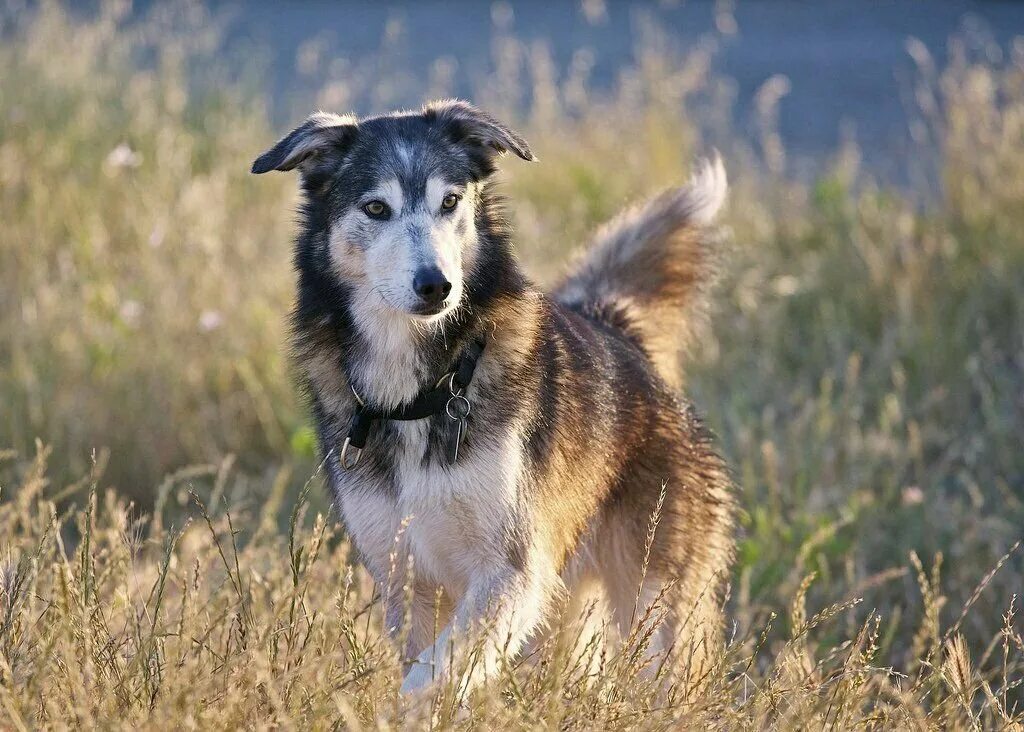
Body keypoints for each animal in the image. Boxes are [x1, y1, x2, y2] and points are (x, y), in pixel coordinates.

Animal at [250, 100, 733, 696]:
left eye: (450, 202)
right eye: (376, 208)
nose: (436, 285)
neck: (421, 393)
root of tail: (618, 330)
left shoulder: (513, 572)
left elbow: (429, 680)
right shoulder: (406, 581)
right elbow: (424, 671)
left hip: (653, 607)